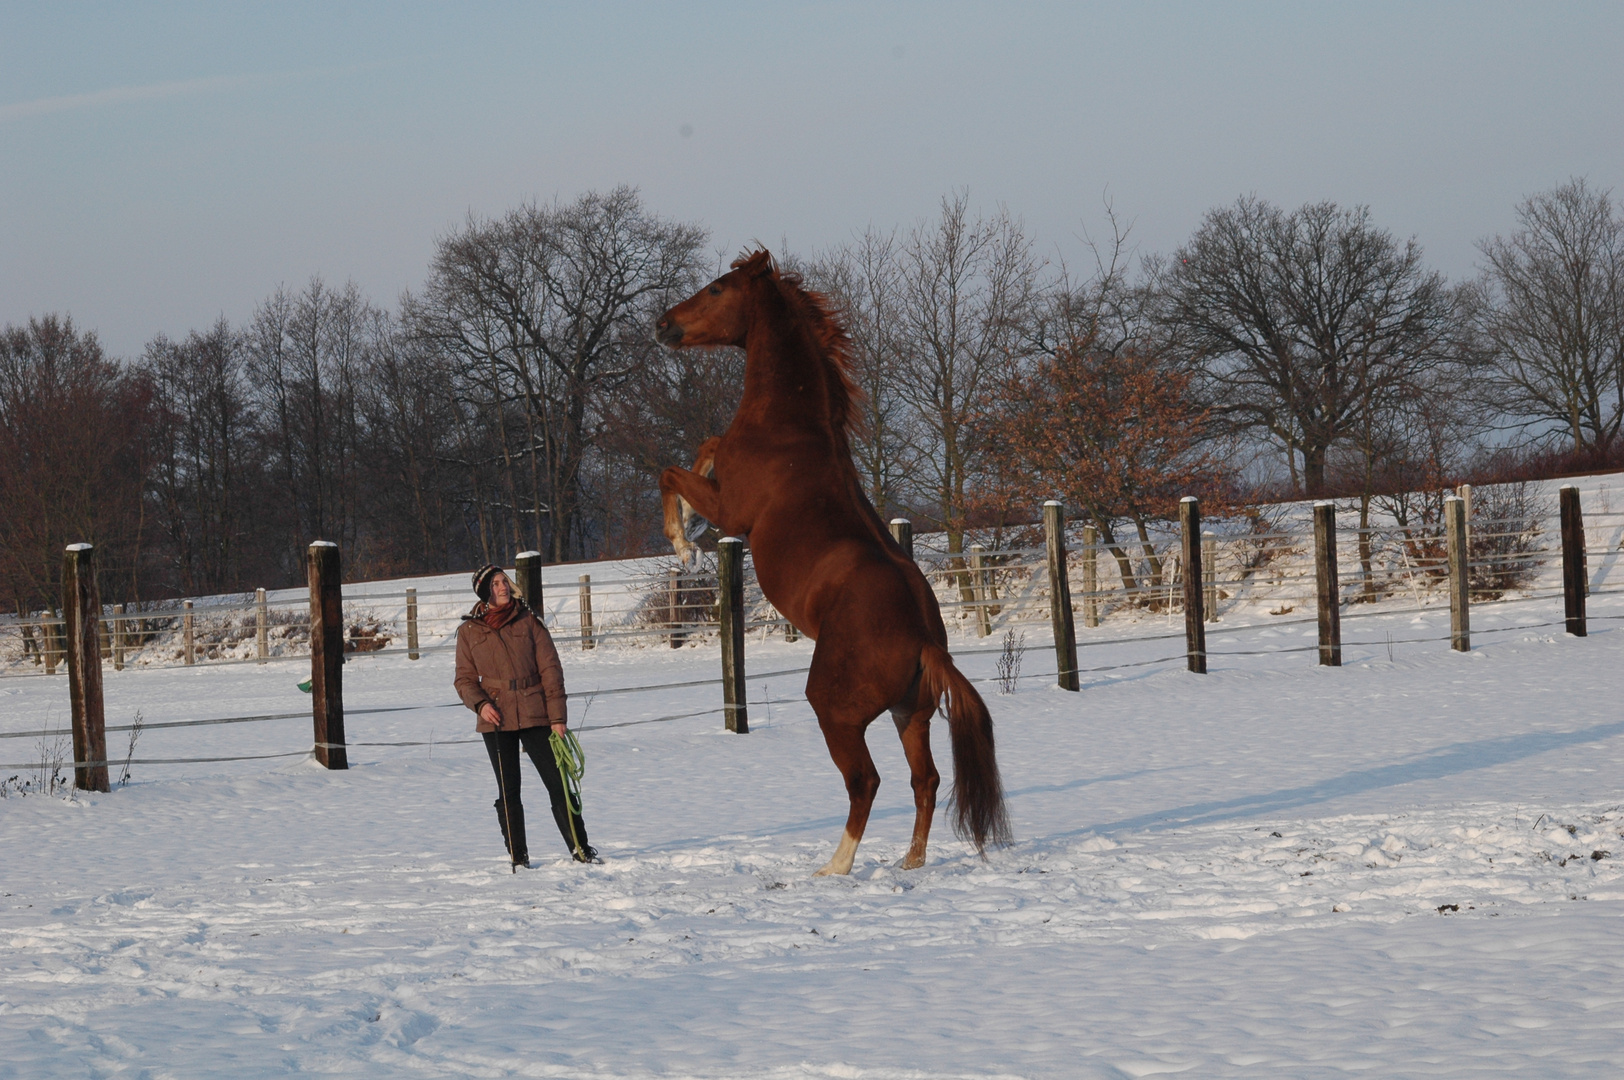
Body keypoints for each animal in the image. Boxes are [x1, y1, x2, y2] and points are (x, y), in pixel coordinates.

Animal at [652, 248, 1006, 870]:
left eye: (718, 288)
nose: (662, 324)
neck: (790, 428)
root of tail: (925, 640)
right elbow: (705, 447)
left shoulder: (732, 512)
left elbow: (671, 472)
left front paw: (683, 543)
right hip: (910, 715)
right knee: (926, 781)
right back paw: (910, 864)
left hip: (835, 711)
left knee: (866, 782)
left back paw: (833, 869)